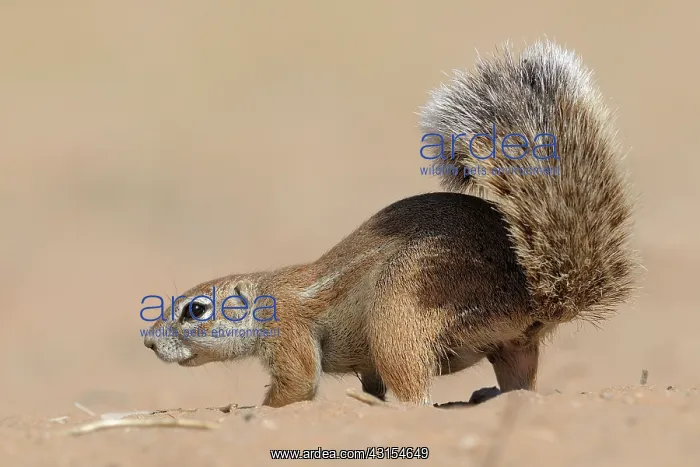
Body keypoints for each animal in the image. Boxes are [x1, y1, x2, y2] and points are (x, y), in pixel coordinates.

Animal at [143, 40, 637, 408]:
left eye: (196, 310)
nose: (148, 343)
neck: (268, 294)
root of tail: (534, 294)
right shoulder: (361, 363)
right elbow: (369, 383)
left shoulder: (290, 335)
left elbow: (296, 386)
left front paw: (251, 410)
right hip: (511, 345)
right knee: (520, 386)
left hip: (397, 311)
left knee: (417, 395)